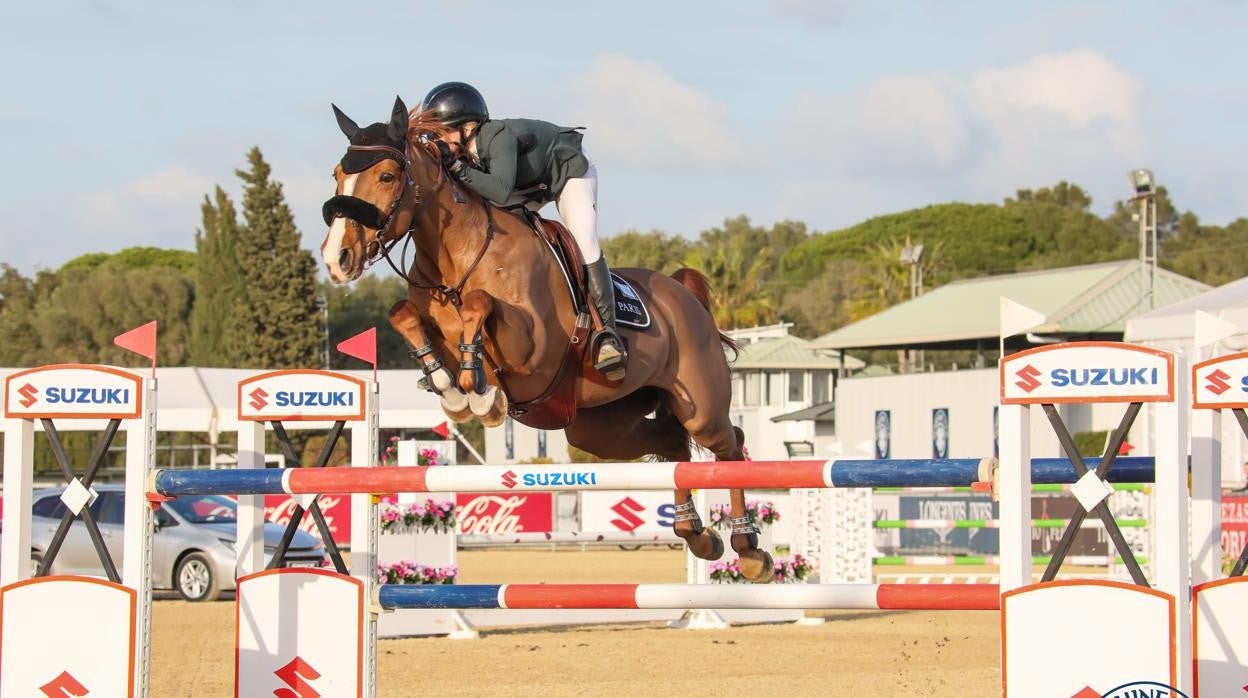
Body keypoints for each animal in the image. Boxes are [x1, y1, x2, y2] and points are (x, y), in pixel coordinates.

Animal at [316, 95, 773, 581]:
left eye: (387, 176)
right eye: (337, 174)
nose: (337, 258)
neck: (457, 259)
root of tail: (683, 294)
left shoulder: (531, 352)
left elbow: (479, 304)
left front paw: (479, 392)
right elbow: (403, 315)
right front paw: (448, 386)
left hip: (699, 406)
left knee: (730, 443)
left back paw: (748, 549)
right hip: (599, 427)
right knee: (673, 445)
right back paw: (698, 535)